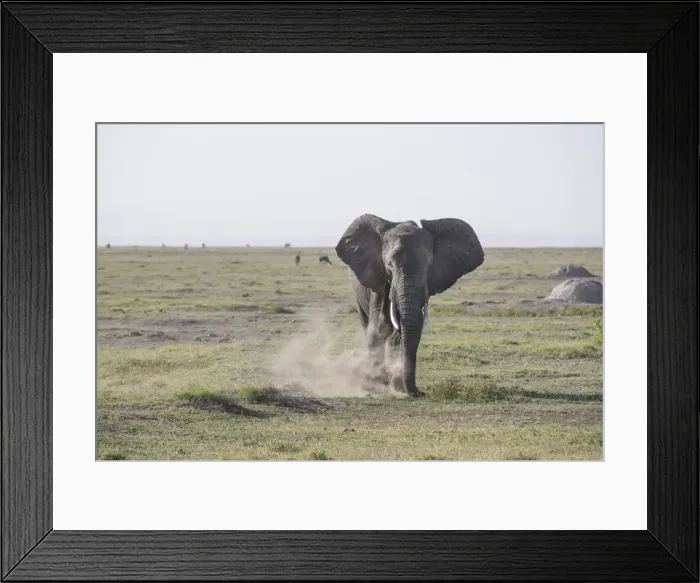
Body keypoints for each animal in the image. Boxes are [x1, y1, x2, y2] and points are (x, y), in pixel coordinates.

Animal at [335, 214, 484, 397]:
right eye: (389, 265)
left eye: (429, 265)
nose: (419, 393)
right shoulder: (378, 277)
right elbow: (379, 329)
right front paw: (374, 387)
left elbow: (407, 329)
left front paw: (398, 388)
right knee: (367, 323)